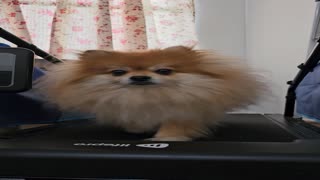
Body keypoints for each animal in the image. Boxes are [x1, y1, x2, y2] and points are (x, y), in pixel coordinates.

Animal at [36, 45, 264, 141]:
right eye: (118, 72)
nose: (139, 77)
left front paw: (168, 138)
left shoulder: (182, 112)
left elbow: (173, 127)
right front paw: (136, 130)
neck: (146, 96)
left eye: (164, 71)